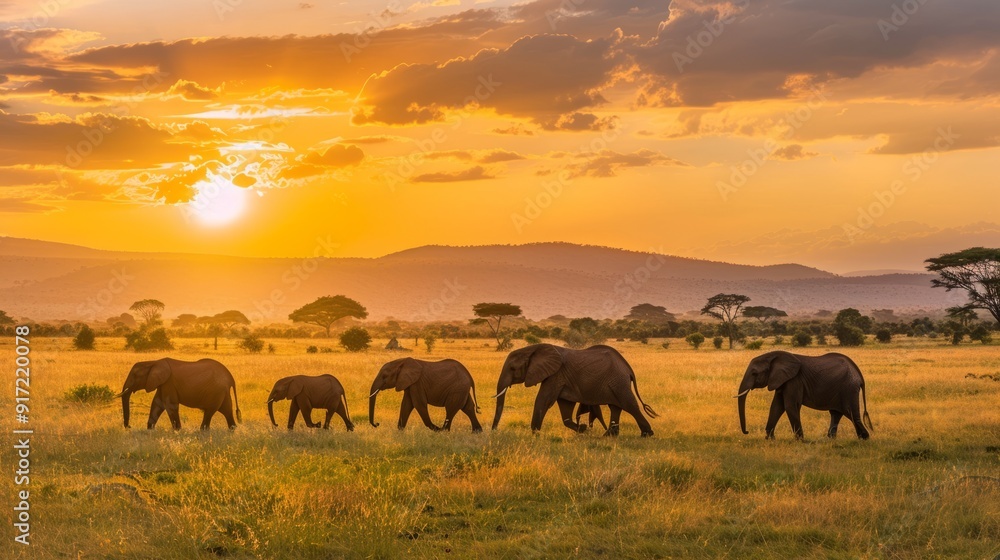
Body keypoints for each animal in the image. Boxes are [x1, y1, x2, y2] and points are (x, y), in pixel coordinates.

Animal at [491, 344, 658, 436]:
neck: (533, 348)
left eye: (512, 368)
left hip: (618, 381)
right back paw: (609, 435)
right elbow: (565, 405)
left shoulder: (556, 374)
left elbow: (544, 400)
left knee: (629, 405)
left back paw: (647, 434)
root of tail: (628, 368)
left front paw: (535, 433)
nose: (494, 431)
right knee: (615, 407)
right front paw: (583, 429)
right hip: (616, 382)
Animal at [734, 351, 873, 440]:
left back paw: (864, 438)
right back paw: (831, 439)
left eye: (754, 373)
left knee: (851, 414)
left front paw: (800, 440)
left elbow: (790, 406)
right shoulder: (782, 380)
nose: (747, 431)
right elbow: (776, 406)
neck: (773, 356)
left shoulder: (794, 380)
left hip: (848, 388)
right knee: (836, 413)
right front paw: (770, 439)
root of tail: (858, 374)